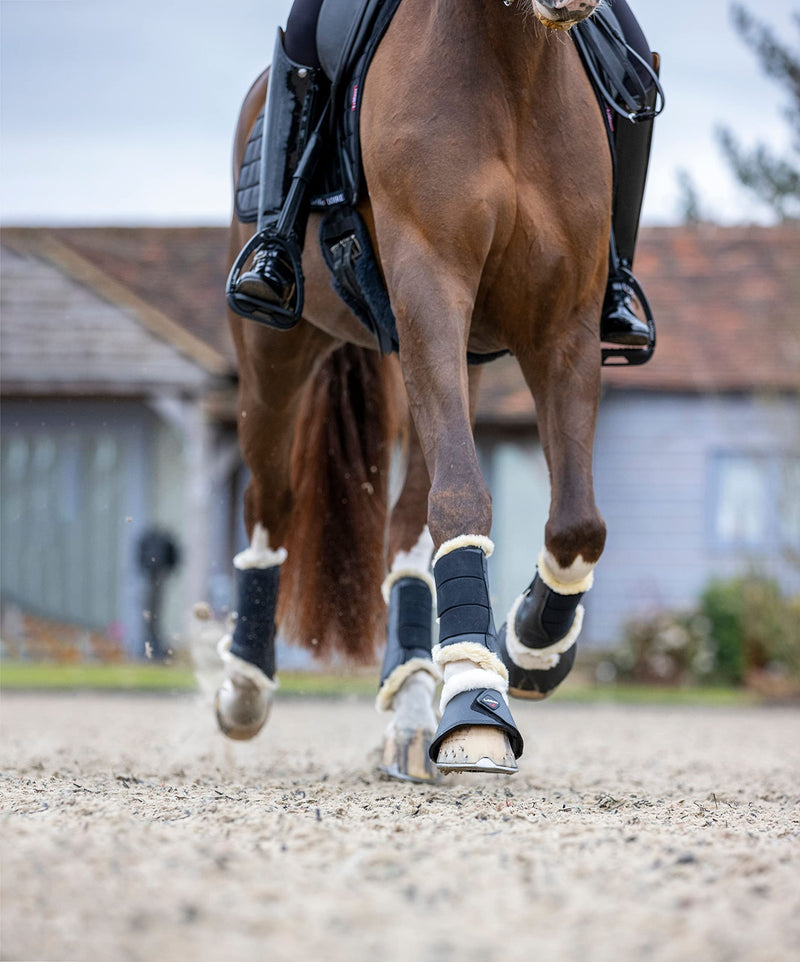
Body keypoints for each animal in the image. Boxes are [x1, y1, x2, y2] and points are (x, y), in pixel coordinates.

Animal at [217, 0, 608, 780]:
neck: (514, 67)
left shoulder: (567, 326)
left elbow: (577, 523)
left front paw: (531, 646)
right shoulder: (430, 287)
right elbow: (462, 498)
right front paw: (477, 707)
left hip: (460, 362)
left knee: (404, 531)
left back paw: (412, 713)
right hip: (275, 357)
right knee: (270, 503)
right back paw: (245, 684)